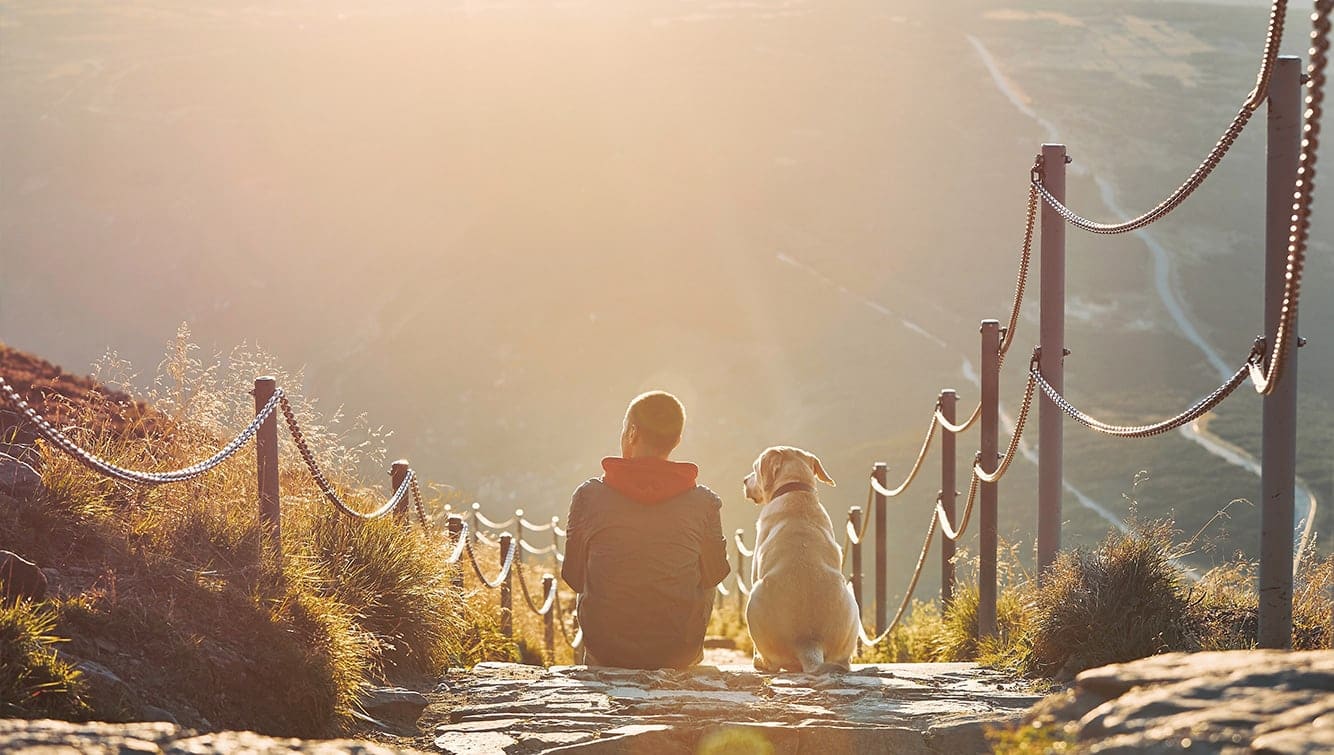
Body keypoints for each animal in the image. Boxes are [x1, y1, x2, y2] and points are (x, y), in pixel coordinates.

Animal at [741, 450, 853, 674]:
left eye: (755, 468)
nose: (744, 480)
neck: (795, 490)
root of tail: (809, 644)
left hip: (753, 597)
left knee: (773, 662)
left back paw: (761, 662)